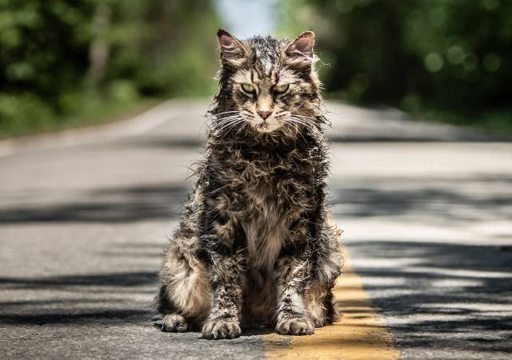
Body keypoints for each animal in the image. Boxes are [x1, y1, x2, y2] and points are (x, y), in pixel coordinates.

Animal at [154, 29, 342, 338]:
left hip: (330, 253)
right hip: (180, 259)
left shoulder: (301, 220)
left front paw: (293, 317)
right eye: (248, 89)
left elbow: (293, 276)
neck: (266, 155)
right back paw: (177, 319)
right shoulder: (224, 219)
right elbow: (227, 279)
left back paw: (307, 317)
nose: (264, 113)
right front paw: (223, 321)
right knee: (174, 302)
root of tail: (256, 318)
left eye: (281, 90)